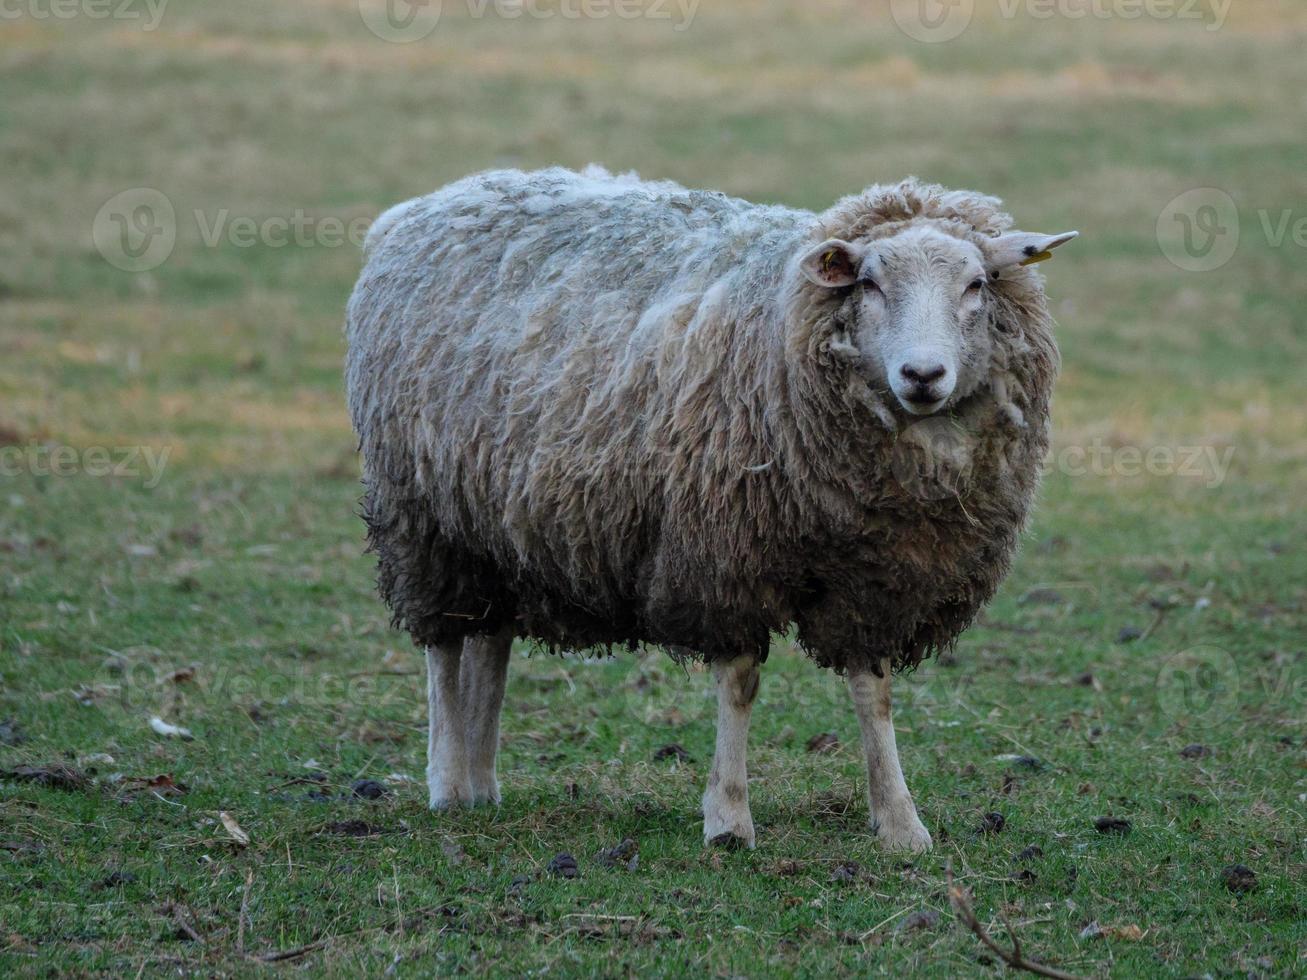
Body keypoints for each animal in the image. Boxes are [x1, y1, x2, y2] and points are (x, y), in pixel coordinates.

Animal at [342, 168, 1076, 851]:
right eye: (867, 283)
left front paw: (899, 822)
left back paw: (482, 783)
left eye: (977, 284)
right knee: (444, 644)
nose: (922, 376)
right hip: (423, 516)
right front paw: (728, 819)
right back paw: (447, 782)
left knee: (489, 641)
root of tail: (440, 197)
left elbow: (876, 694)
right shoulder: (725, 554)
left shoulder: (879, 578)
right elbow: (739, 685)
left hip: (495, 522)